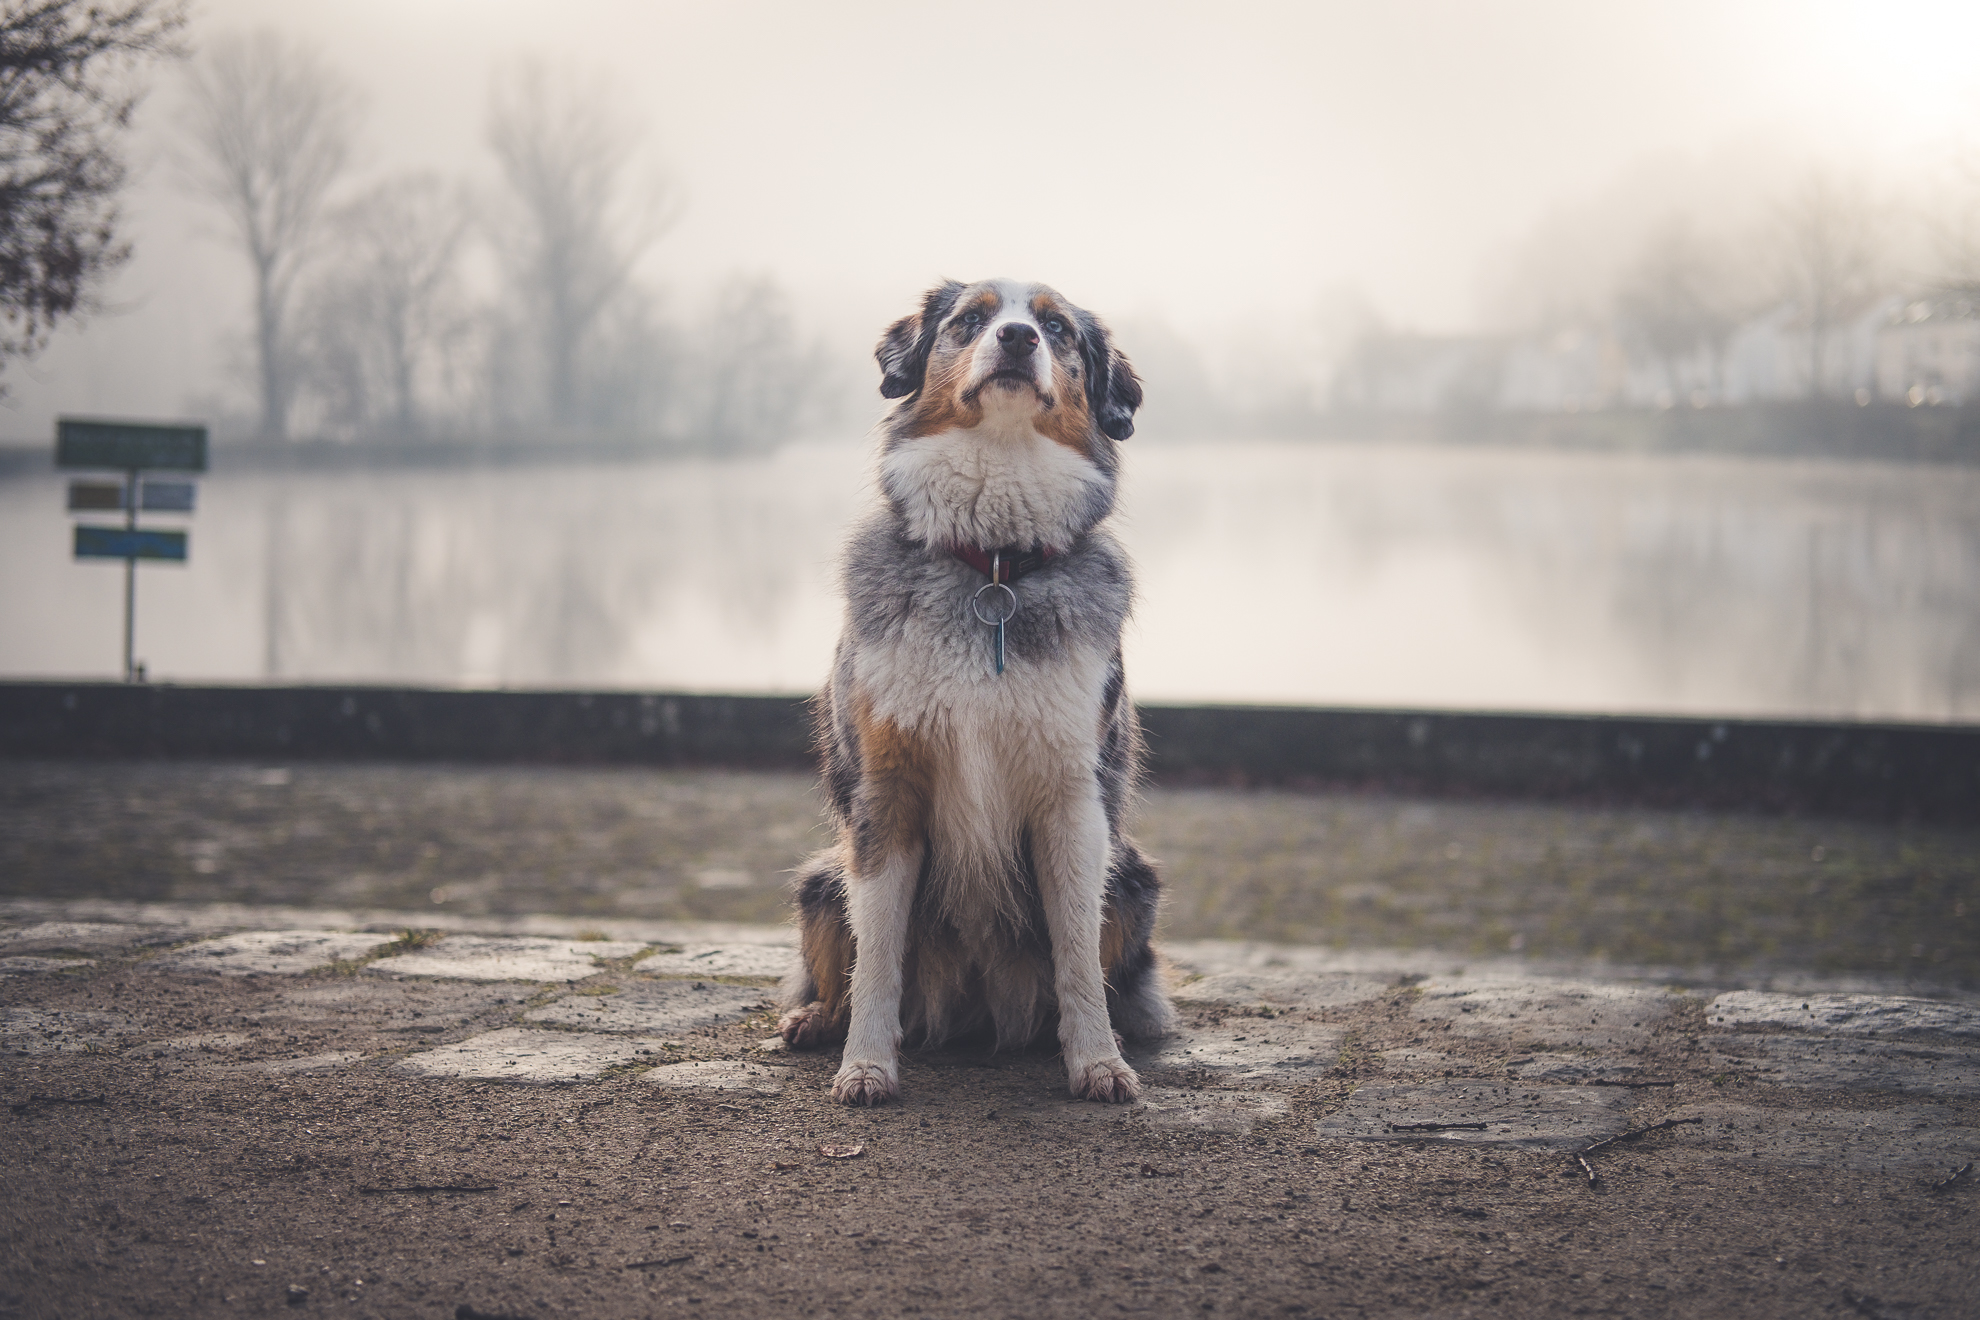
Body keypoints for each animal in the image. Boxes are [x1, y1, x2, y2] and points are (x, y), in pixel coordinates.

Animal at [776, 279, 1172, 1108]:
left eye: (1057, 328)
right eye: (971, 319)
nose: (1018, 338)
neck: (993, 564)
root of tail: (973, 1016)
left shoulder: (1071, 795)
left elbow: (1078, 954)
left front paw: (1098, 1062)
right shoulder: (888, 790)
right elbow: (877, 955)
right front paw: (866, 1066)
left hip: (1134, 878)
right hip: (822, 879)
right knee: (836, 966)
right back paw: (816, 1022)